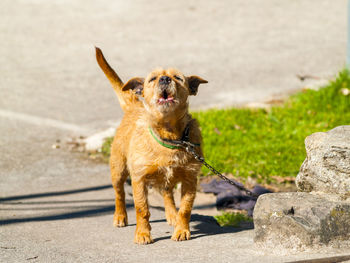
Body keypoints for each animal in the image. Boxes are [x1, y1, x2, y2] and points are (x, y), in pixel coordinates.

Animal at [95, 47, 206, 245]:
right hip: (118, 170)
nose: (165, 79)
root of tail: (134, 106)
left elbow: (185, 208)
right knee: (119, 193)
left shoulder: (190, 179)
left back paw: (171, 214)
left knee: (167, 193)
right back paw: (120, 216)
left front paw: (181, 230)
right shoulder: (139, 179)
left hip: (166, 179)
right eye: (153, 78)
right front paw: (142, 233)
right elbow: (142, 209)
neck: (169, 136)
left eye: (178, 78)